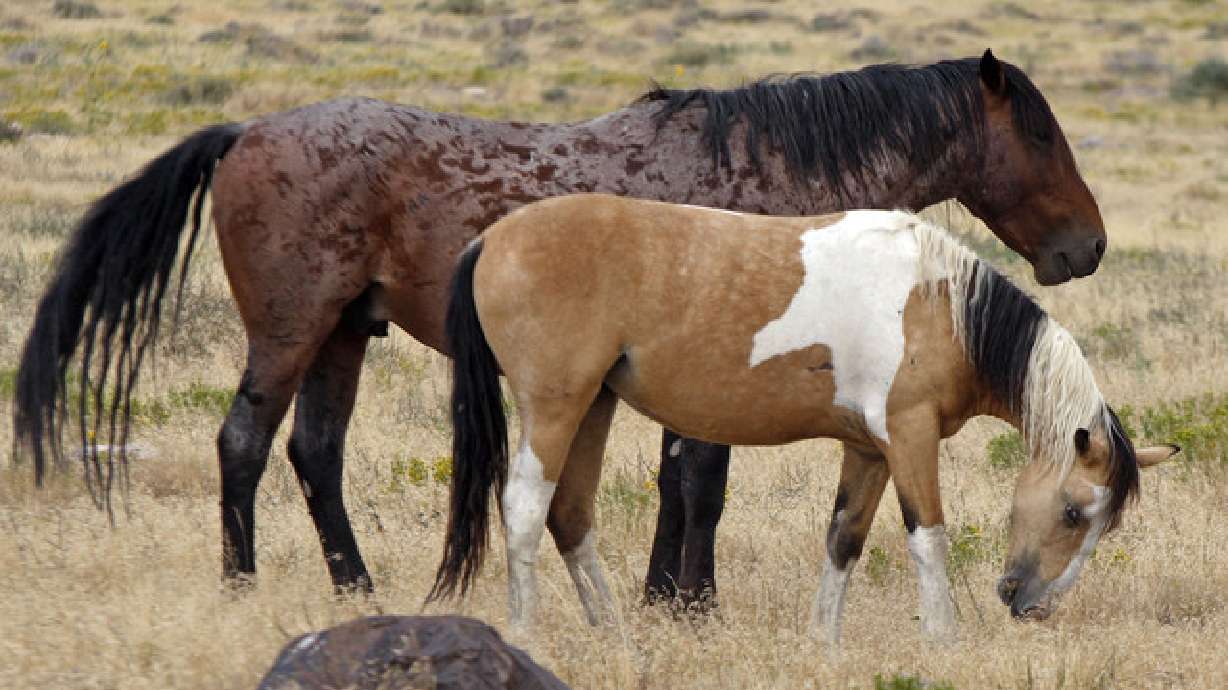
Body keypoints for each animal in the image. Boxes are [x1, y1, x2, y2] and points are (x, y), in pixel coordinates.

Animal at [13, 51, 1107, 599]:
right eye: (1040, 131)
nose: (1086, 246)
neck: (760, 173)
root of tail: (245, 133)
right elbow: (700, 487)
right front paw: (688, 601)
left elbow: (684, 485)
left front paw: (667, 597)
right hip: (291, 333)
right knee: (242, 442)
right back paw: (242, 586)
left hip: (341, 339)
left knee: (313, 455)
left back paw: (357, 591)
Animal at [428, 194, 1177, 641]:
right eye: (1075, 513)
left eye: (1104, 526)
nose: (1031, 603)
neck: (941, 303)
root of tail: (490, 240)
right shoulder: (910, 436)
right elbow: (928, 538)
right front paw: (944, 641)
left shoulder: (870, 451)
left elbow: (843, 539)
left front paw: (825, 642)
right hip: (554, 408)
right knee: (526, 510)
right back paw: (525, 633)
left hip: (593, 407)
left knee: (572, 515)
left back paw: (613, 637)